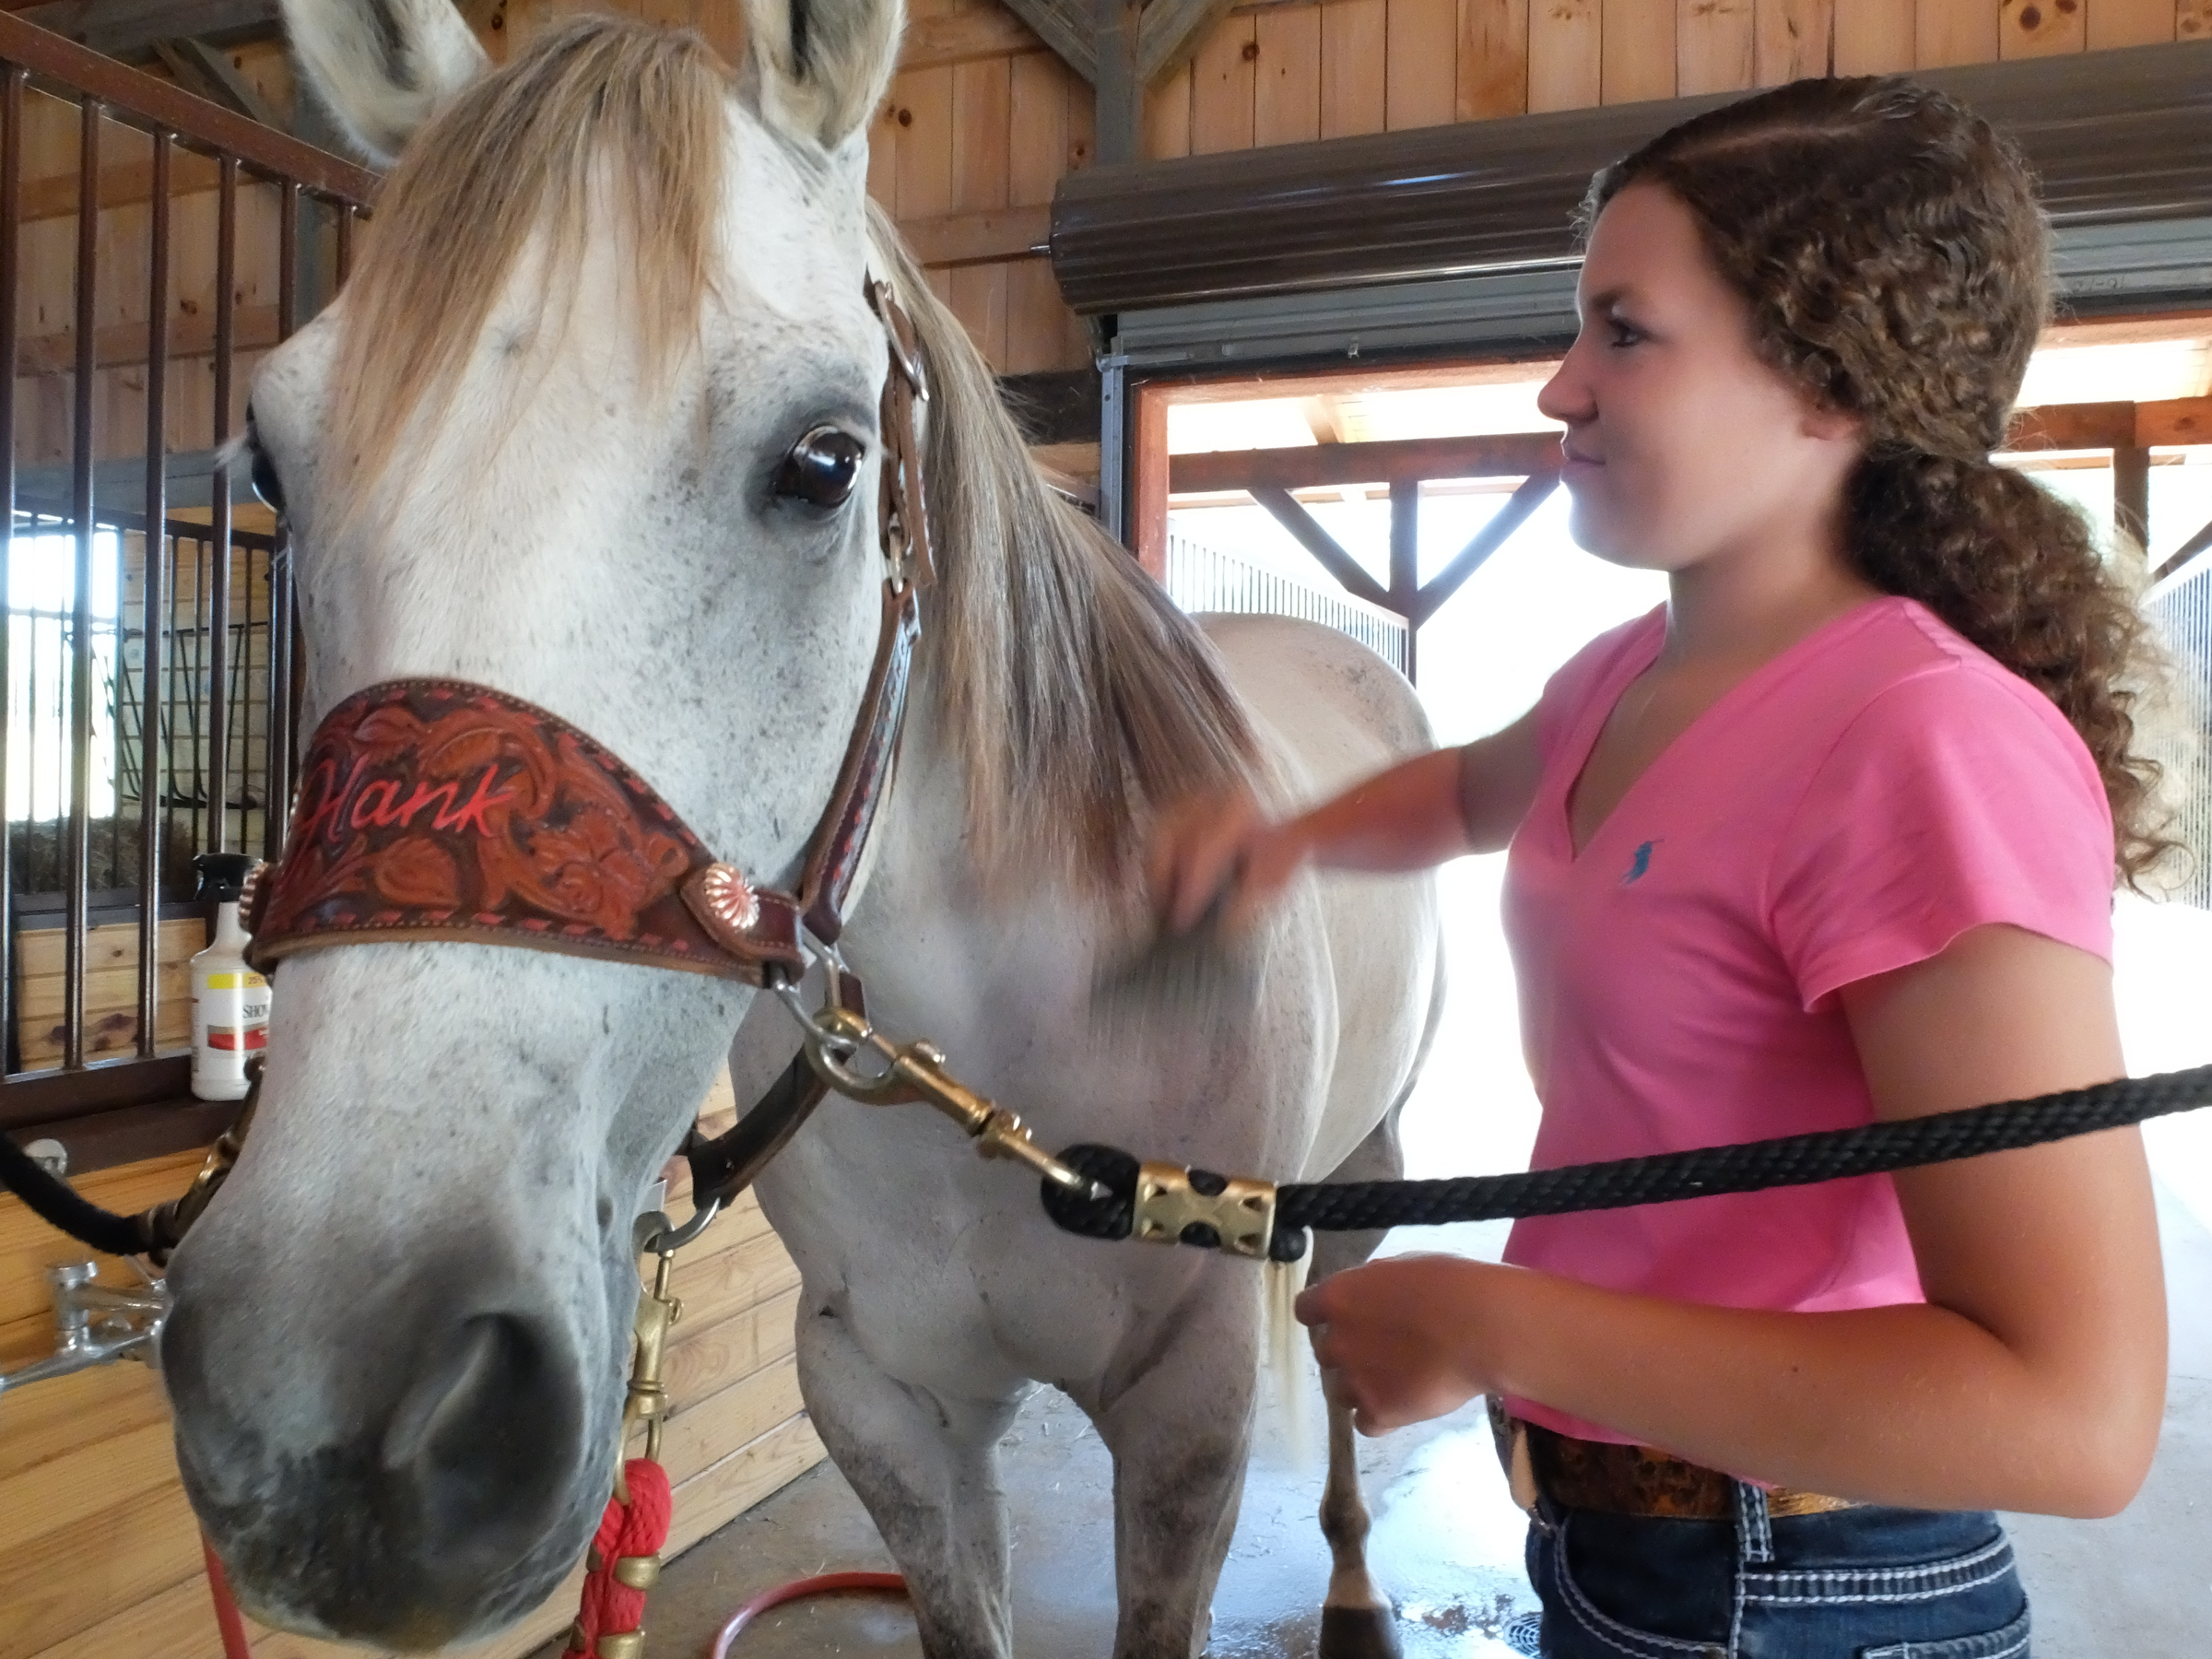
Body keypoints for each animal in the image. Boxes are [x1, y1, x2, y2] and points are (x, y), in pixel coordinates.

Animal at [159, 2, 1444, 1654]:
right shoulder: (881, 1397)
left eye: (825, 462)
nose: (328, 1406)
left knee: (1344, 1349)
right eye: (270, 456)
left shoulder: (1186, 1414)